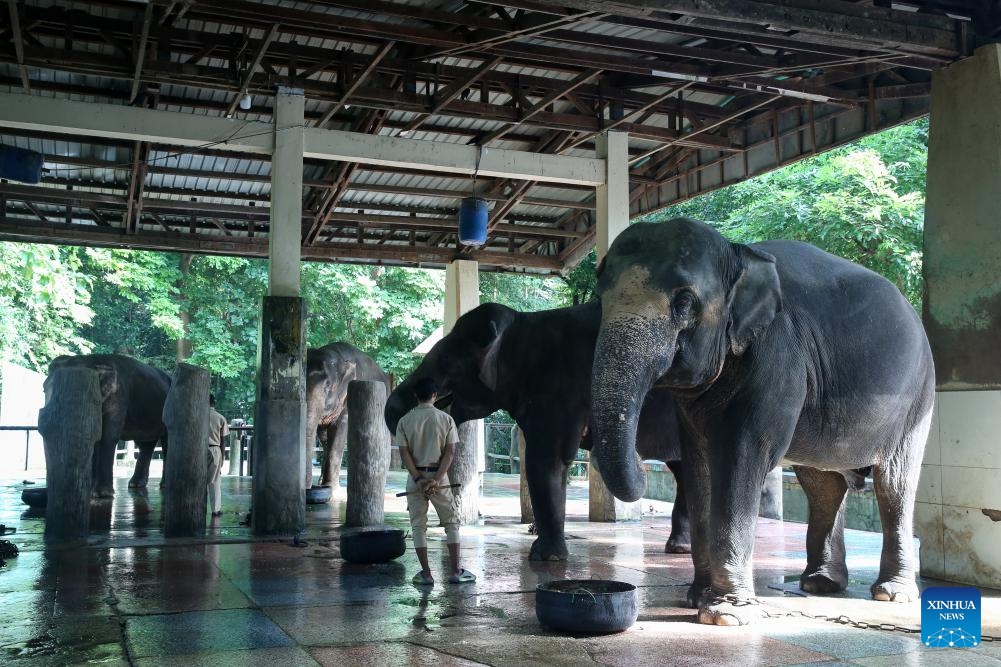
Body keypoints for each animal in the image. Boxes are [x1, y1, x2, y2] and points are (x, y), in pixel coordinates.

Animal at [45, 356, 169, 496]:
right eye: (43, 389)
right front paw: (90, 493)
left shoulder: (118, 396)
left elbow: (107, 436)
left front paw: (101, 494)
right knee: (146, 444)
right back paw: (135, 484)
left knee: (166, 442)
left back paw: (164, 485)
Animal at [302, 340, 388, 486]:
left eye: (328, 385)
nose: (307, 489)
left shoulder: (347, 399)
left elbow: (339, 433)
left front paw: (331, 488)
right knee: (324, 439)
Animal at [382, 302, 688, 560]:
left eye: (446, 361)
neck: (521, 324)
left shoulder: (557, 390)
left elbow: (545, 460)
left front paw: (544, 557)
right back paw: (678, 548)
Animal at [588, 218, 932, 624]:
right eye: (600, 300)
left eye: (684, 302)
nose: (644, 469)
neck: (737, 254)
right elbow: (699, 463)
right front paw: (697, 598)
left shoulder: (778, 355)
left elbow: (741, 457)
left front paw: (724, 614)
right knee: (823, 485)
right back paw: (820, 584)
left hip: (918, 397)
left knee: (894, 484)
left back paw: (891, 594)